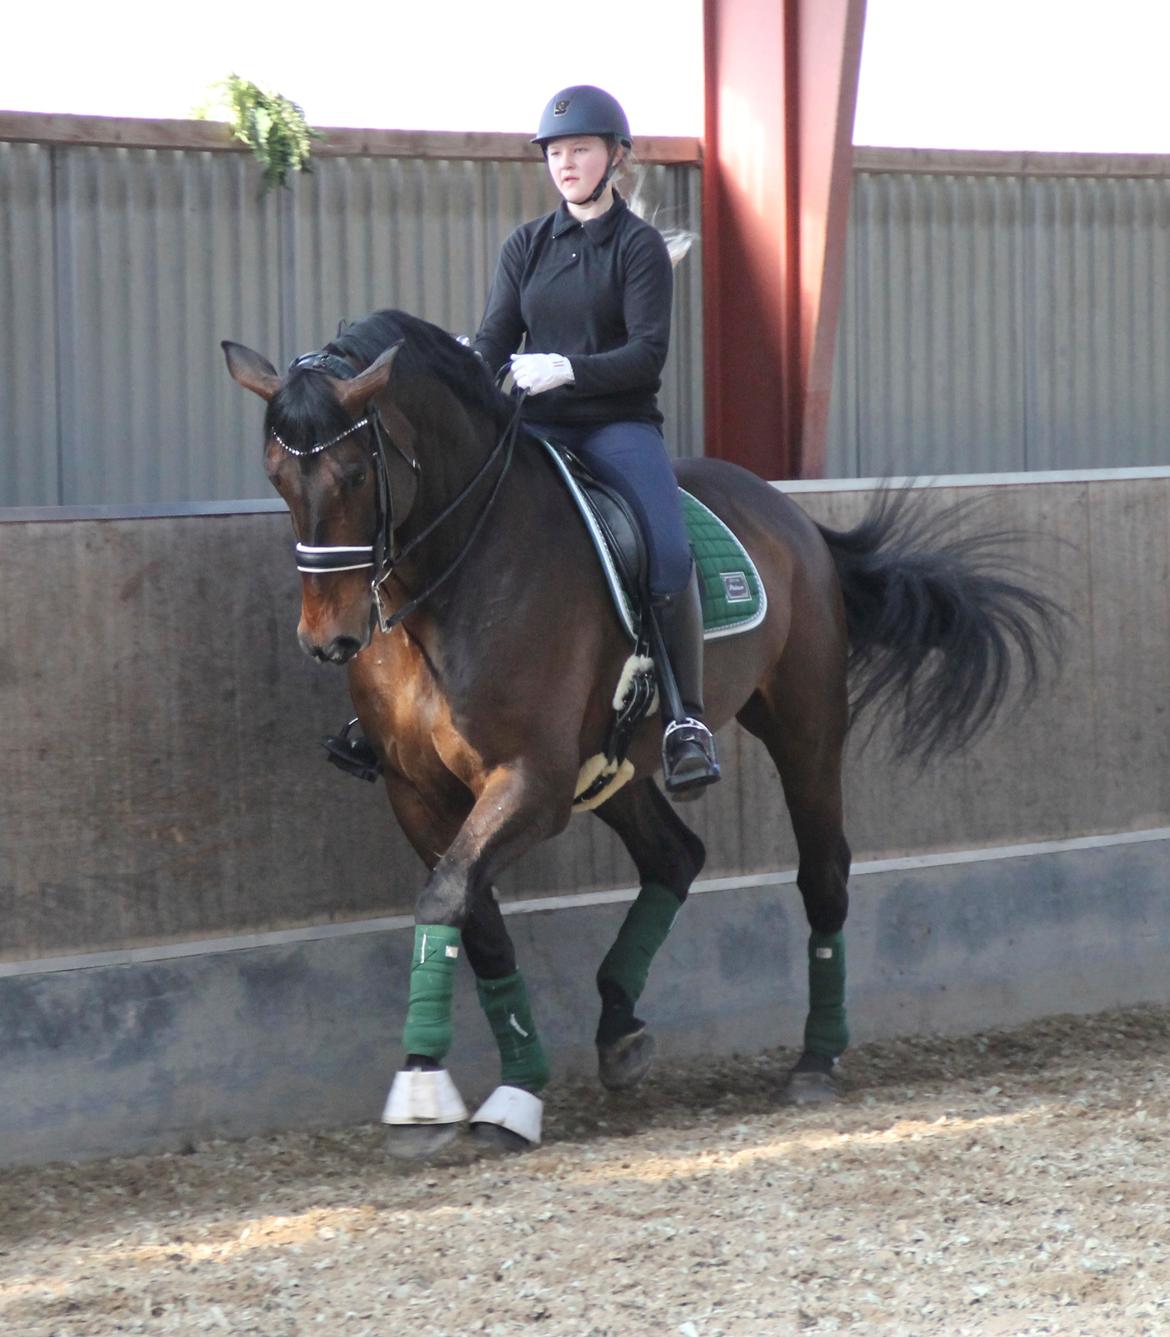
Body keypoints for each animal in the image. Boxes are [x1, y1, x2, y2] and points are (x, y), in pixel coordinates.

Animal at [224, 307, 1064, 1155]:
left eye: (355, 475)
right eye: (276, 475)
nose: (328, 639)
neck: (452, 583)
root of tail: (792, 514)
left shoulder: (531, 781)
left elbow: (449, 896)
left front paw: (427, 1089)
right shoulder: (417, 791)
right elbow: (470, 916)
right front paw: (507, 1085)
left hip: (805, 723)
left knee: (822, 870)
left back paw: (816, 1057)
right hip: (614, 763)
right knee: (675, 855)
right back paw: (620, 1027)